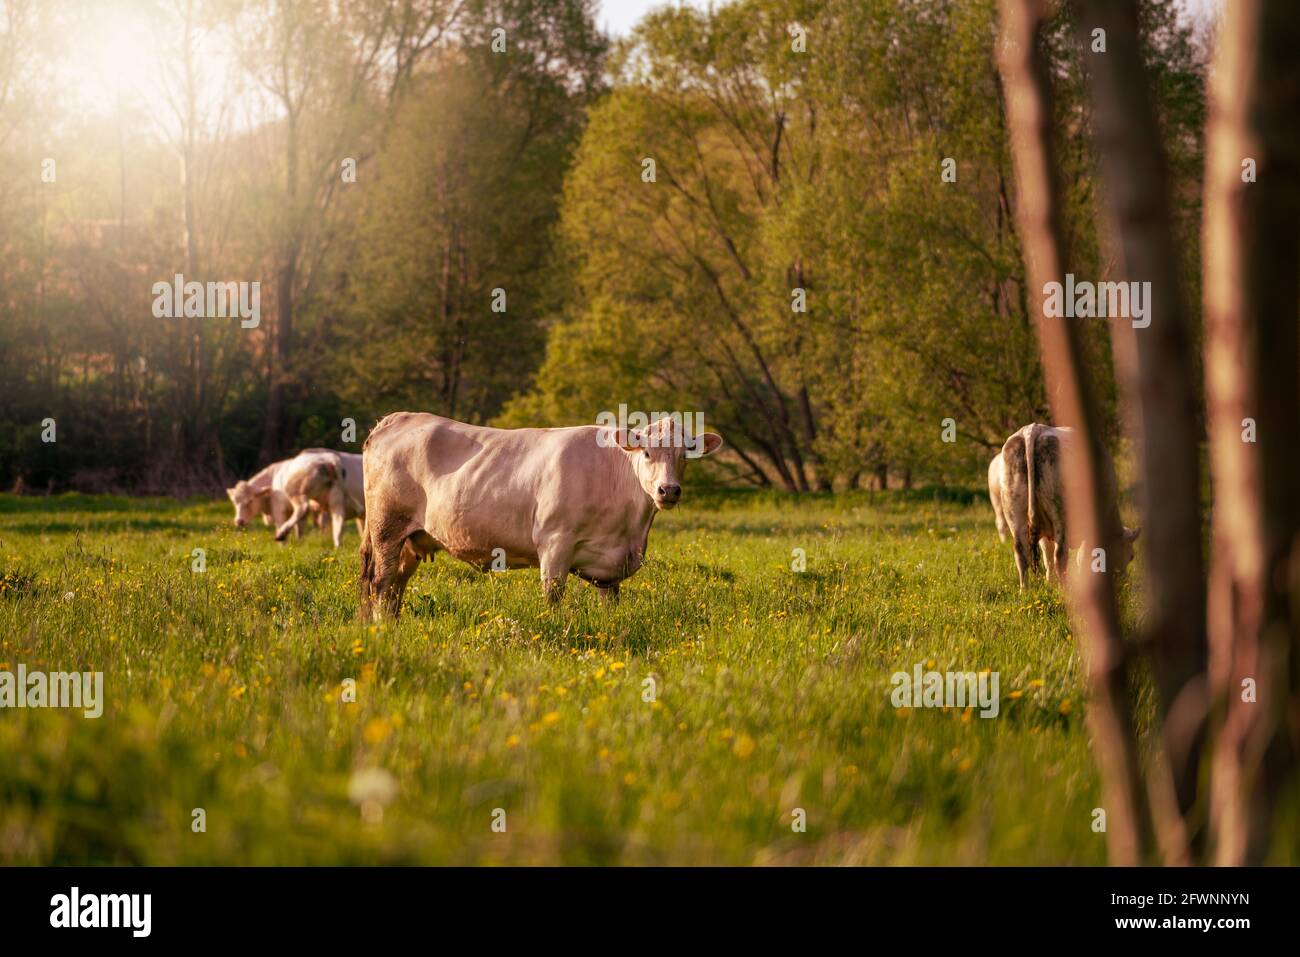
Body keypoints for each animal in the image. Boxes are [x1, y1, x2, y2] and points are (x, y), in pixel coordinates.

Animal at [359, 413, 723, 619]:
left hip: (412, 538)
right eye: (647, 453)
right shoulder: (554, 541)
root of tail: (399, 417)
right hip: (387, 527)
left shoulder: (611, 564)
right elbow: (553, 595)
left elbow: (611, 603)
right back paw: (379, 627)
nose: (668, 490)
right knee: (379, 582)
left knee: (395, 586)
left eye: (685, 455)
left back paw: (390, 627)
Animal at [995, 423, 1139, 588]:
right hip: (1060, 514)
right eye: (1131, 556)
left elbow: (1048, 558)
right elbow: (1084, 558)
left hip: (1014, 511)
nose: (1124, 580)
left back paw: (1024, 589)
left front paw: (1049, 583)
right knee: (1060, 556)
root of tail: (1033, 429)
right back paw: (1065, 590)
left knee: (1022, 555)